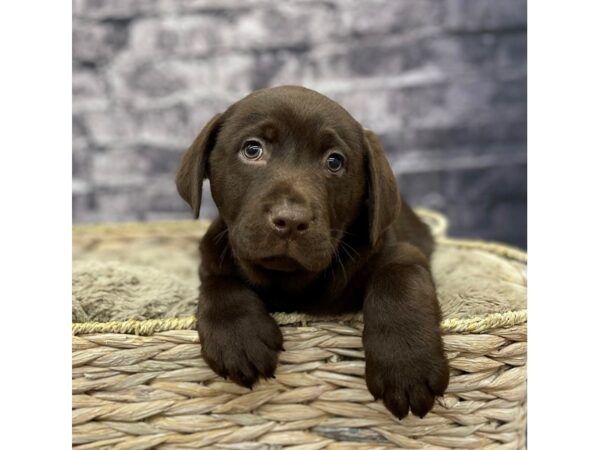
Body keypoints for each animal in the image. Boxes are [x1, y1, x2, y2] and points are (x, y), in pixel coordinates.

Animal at [176, 86, 448, 420]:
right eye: (252, 150)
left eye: (334, 162)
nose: (291, 220)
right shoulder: (212, 256)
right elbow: (218, 282)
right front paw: (237, 338)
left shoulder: (402, 252)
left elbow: (398, 280)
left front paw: (406, 363)